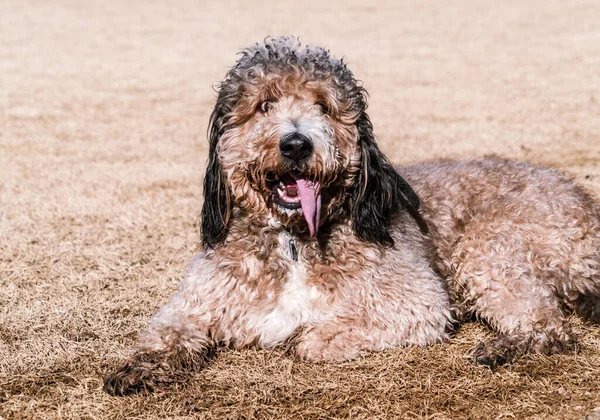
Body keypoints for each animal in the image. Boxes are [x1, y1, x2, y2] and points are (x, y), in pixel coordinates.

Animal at [104, 35, 600, 394]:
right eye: (264, 105)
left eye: (323, 106)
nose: (296, 144)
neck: (294, 241)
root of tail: (585, 203)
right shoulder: (197, 300)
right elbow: (166, 332)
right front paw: (139, 367)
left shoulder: (416, 302)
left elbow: (315, 337)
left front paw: (302, 338)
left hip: (488, 251)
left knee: (551, 327)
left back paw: (504, 346)